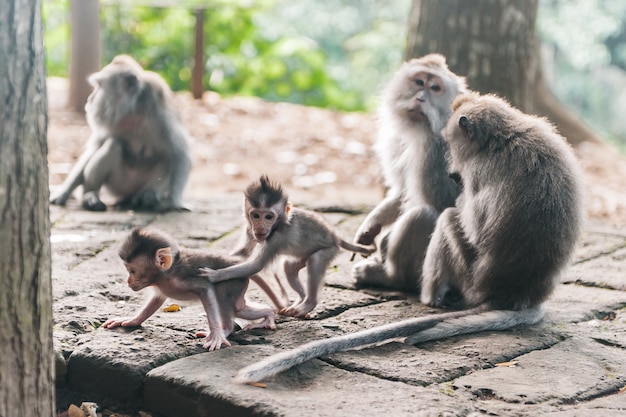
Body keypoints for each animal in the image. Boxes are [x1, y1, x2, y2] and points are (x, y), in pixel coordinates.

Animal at [49, 54, 190, 211]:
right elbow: (95, 147)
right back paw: (90, 195)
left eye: (100, 86)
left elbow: (180, 153)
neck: (132, 111)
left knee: (166, 157)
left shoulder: (160, 113)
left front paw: (172, 202)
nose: (90, 99)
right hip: (117, 186)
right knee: (113, 144)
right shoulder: (110, 121)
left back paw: (148, 195)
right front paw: (64, 191)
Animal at [103, 226, 276, 350]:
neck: (167, 274)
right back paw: (269, 314)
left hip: (235, 281)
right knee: (240, 308)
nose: (128, 281)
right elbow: (156, 300)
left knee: (223, 297)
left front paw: (216, 335)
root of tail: (237, 264)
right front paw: (132, 320)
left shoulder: (183, 279)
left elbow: (206, 289)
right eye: (128, 270)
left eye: (132, 271)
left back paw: (226, 329)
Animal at [200, 174, 376, 316]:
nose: (260, 227)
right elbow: (241, 253)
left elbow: (256, 265)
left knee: (315, 260)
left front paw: (214, 275)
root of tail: (335, 236)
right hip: (302, 255)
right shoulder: (250, 230)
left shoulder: (277, 238)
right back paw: (301, 298)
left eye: (269, 216)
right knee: (289, 266)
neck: (277, 225)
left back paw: (308, 304)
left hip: (329, 249)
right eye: (256, 215)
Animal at [352, 53, 464, 290]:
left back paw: (390, 277)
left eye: (435, 88)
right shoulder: (398, 142)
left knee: (423, 215)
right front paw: (369, 227)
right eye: (419, 82)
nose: (421, 98)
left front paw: (384, 243)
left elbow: (443, 204)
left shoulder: (434, 154)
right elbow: (401, 191)